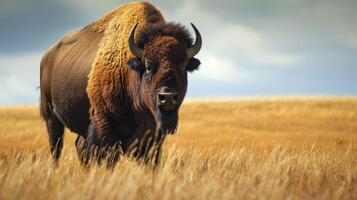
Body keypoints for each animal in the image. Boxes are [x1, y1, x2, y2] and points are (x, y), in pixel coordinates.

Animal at [39, 1, 200, 167]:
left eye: (183, 66)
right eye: (148, 66)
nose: (167, 97)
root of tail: (47, 56)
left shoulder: (153, 137)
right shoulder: (105, 127)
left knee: (79, 146)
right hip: (51, 116)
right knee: (56, 147)